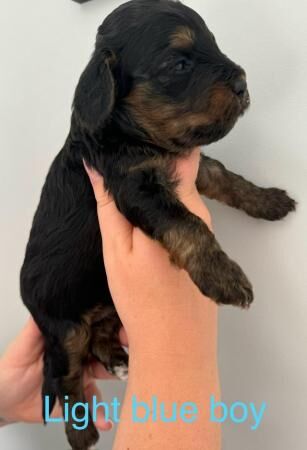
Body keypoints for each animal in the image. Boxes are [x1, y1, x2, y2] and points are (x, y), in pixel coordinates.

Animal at [19, 1, 296, 448]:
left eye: (213, 44)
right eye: (179, 64)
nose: (242, 81)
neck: (133, 136)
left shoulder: (191, 172)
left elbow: (225, 177)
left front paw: (269, 200)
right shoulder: (138, 187)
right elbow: (188, 224)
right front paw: (224, 277)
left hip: (104, 304)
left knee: (99, 338)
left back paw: (117, 359)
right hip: (63, 328)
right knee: (66, 377)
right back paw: (82, 432)